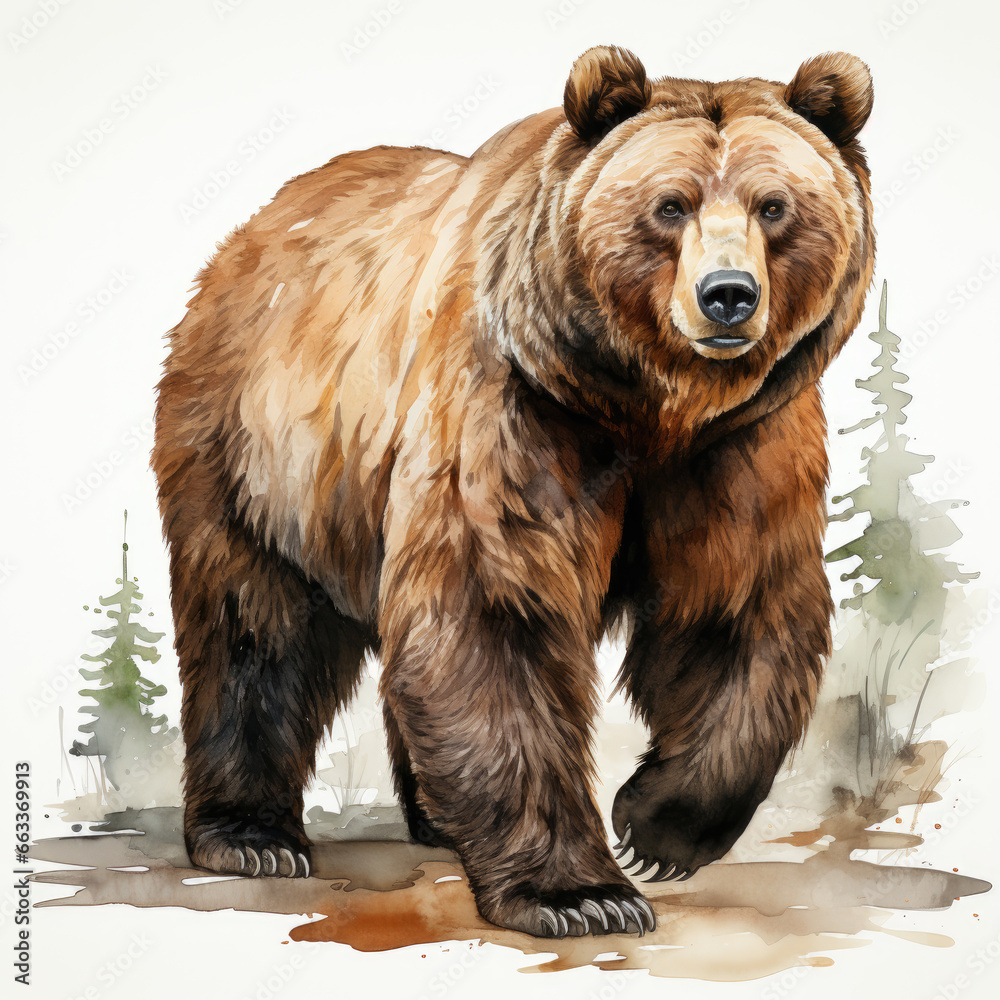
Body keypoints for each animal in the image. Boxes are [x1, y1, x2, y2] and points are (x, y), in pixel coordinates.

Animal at [151, 45, 874, 938]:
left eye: (774, 205)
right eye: (670, 205)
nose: (729, 295)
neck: (646, 405)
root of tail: (244, 237)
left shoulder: (739, 447)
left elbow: (732, 609)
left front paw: (655, 828)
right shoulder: (514, 403)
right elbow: (495, 609)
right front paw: (581, 893)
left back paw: (428, 816)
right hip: (261, 452)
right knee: (256, 625)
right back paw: (251, 837)